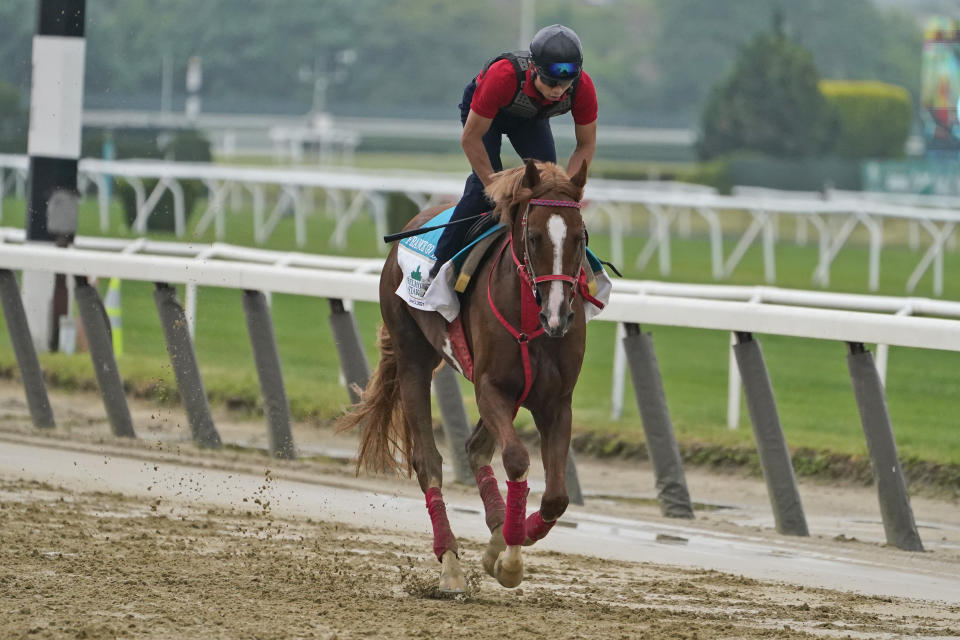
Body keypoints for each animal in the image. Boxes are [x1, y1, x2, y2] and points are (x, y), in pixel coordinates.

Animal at [342, 158, 588, 592]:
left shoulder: (555, 400)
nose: (558, 315)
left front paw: (511, 540)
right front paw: (509, 559)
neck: (532, 317)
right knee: (428, 461)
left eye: (580, 237)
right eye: (535, 237)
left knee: (475, 448)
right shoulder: (491, 388)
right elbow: (516, 458)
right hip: (412, 359)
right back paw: (451, 565)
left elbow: (557, 496)